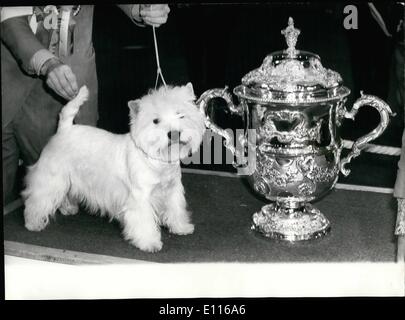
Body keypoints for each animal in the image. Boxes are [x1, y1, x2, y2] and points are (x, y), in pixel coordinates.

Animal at [21, 83, 205, 252]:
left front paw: (181, 227)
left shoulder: (173, 189)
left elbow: (176, 209)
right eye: (155, 121)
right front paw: (149, 242)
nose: (174, 133)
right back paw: (33, 223)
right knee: (37, 199)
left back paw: (68, 209)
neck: (158, 160)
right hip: (52, 177)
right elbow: (143, 220)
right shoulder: (140, 197)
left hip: (67, 179)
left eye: (181, 115)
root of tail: (64, 129)